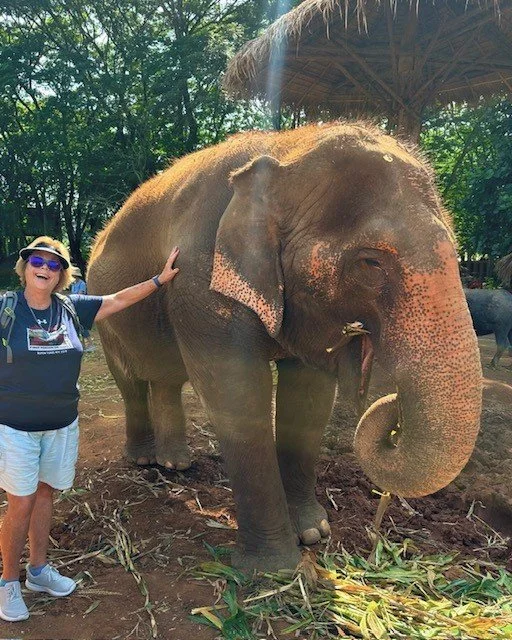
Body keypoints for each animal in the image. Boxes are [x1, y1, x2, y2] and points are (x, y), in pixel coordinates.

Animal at [88, 122, 482, 571]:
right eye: (371, 263)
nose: (393, 406)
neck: (286, 148)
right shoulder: (199, 279)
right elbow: (237, 391)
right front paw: (274, 568)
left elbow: (309, 395)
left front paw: (313, 533)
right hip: (104, 312)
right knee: (130, 381)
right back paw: (142, 460)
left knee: (167, 379)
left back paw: (176, 464)